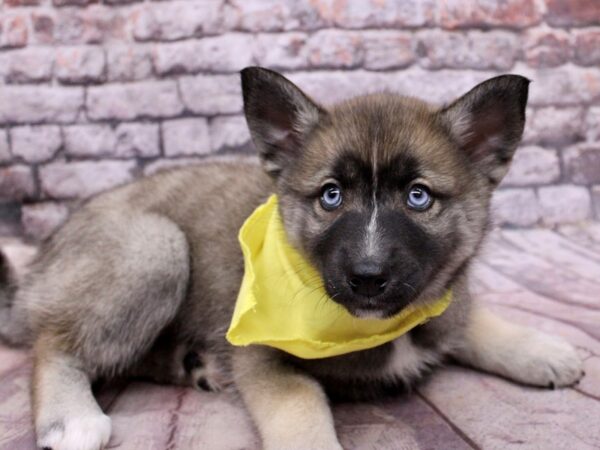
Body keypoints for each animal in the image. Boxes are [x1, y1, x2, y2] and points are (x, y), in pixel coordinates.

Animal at [0, 67, 580, 450]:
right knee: (54, 343)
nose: (367, 278)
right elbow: (300, 406)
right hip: (155, 248)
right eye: (331, 196)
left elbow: (470, 317)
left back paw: (192, 364)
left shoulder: (440, 303)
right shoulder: (261, 357)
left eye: (418, 196)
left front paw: (543, 349)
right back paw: (70, 418)